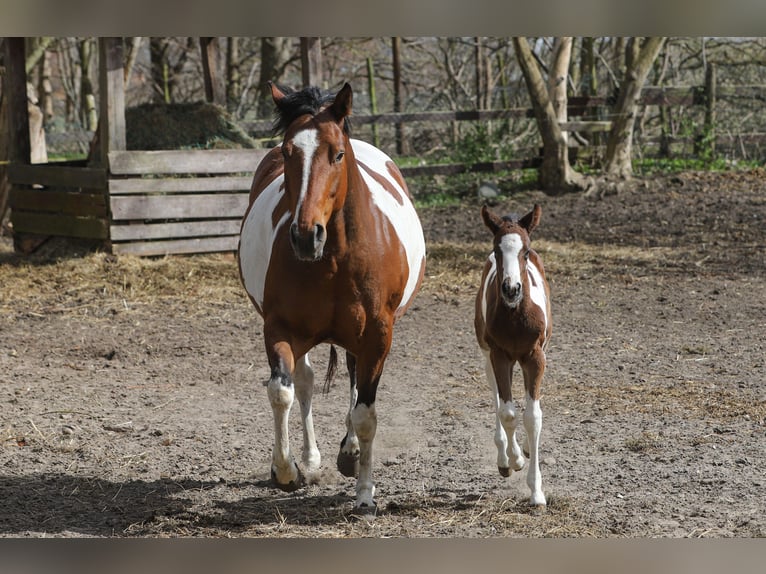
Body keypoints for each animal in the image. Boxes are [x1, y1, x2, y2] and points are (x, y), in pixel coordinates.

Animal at [237, 82, 426, 512]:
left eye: (337, 154)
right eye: (287, 152)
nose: (306, 236)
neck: (335, 258)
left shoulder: (377, 336)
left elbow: (365, 412)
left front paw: (365, 495)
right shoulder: (279, 328)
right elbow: (281, 392)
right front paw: (286, 470)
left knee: (354, 380)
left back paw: (350, 454)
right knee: (304, 383)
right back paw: (310, 459)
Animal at [473, 204, 551, 506]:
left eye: (525, 251)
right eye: (497, 250)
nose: (511, 289)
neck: (517, 315)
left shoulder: (535, 356)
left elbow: (533, 416)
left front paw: (537, 492)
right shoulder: (499, 356)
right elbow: (507, 413)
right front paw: (515, 460)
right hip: (488, 356)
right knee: (496, 397)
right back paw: (505, 458)